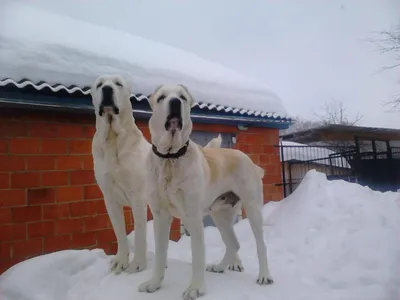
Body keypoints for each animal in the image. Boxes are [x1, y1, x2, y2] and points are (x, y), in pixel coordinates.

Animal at [139, 84, 274, 300]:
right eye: (161, 98)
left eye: (182, 97)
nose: (174, 102)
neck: (170, 157)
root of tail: (248, 159)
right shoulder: (160, 215)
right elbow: (160, 254)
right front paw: (154, 284)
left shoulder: (192, 217)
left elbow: (197, 254)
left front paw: (195, 288)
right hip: (220, 215)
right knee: (233, 244)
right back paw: (219, 267)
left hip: (253, 210)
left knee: (261, 244)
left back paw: (264, 276)